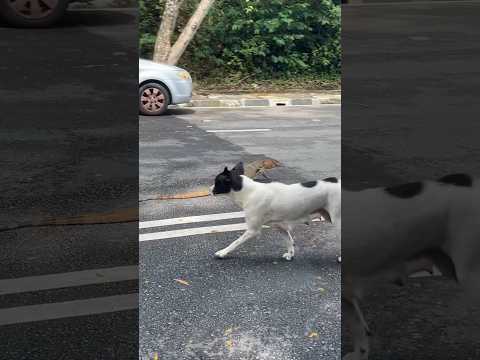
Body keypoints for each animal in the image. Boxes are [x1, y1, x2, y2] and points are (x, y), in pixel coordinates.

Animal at [210, 162, 342, 260]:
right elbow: (289, 241)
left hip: (337, 221)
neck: (248, 191)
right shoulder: (280, 226)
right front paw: (290, 254)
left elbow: (235, 242)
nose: (210, 189)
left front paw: (223, 252)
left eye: (217, 182)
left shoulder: (253, 230)